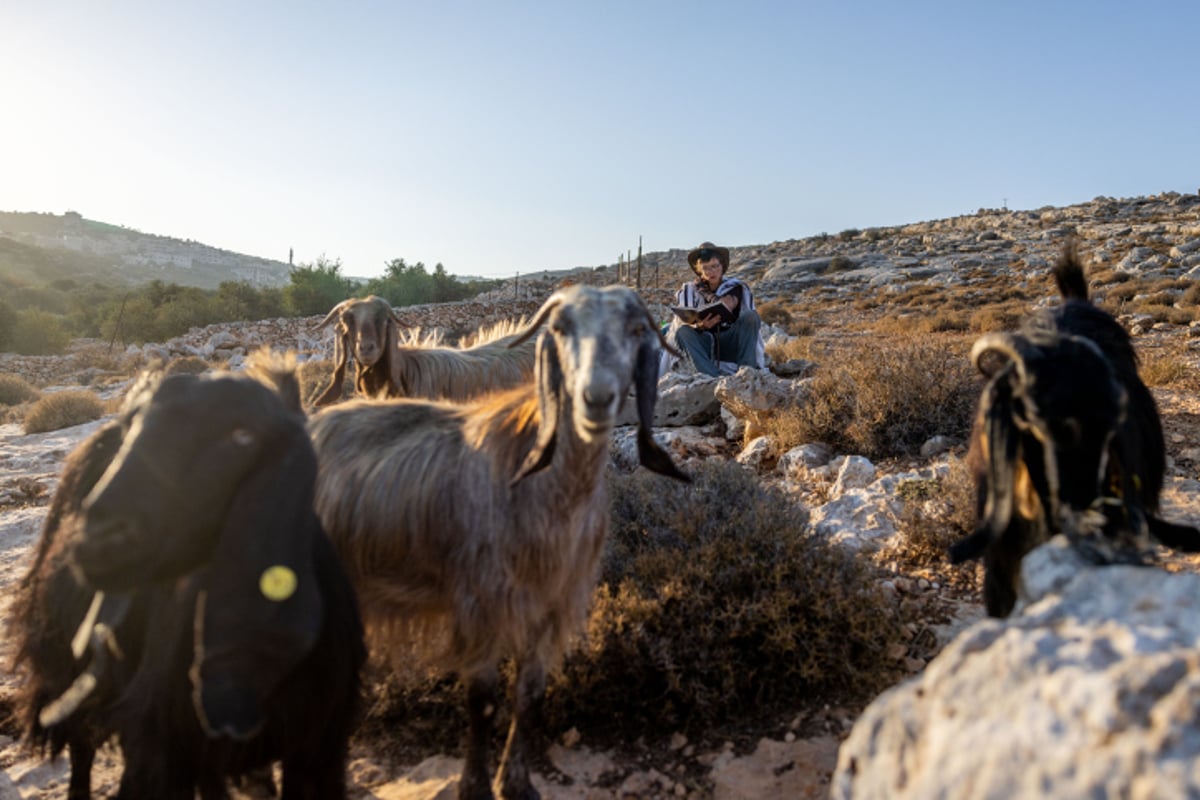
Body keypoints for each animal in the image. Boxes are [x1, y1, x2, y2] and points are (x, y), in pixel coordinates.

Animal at [7, 357, 364, 800]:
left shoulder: (318, 748)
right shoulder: (159, 745)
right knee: (81, 747)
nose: (99, 537)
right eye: (138, 426)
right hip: (66, 663)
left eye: (242, 436)